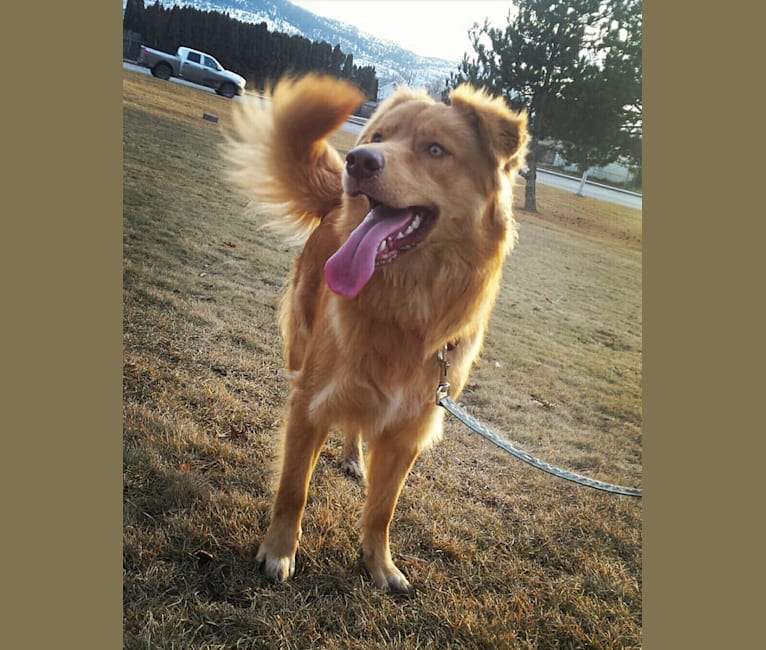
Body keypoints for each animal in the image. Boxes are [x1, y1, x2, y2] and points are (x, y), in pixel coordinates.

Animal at [226, 73, 528, 588]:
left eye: (435, 149)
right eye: (380, 137)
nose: (359, 160)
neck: (403, 310)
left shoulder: (410, 428)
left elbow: (382, 511)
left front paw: (379, 565)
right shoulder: (310, 401)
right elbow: (293, 488)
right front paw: (278, 551)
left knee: (356, 425)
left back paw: (353, 456)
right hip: (302, 347)